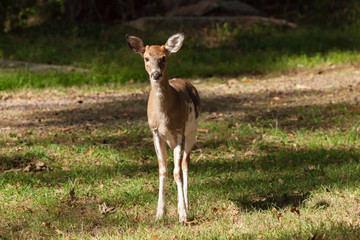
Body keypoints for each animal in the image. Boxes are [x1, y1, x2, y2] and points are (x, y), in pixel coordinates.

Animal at [126, 32, 201, 222]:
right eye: (146, 58)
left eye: (164, 58)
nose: (156, 74)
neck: (164, 117)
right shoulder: (155, 133)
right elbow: (162, 170)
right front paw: (160, 212)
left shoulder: (180, 132)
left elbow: (177, 172)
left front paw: (183, 214)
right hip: (171, 139)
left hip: (192, 131)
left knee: (186, 163)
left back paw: (187, 204)